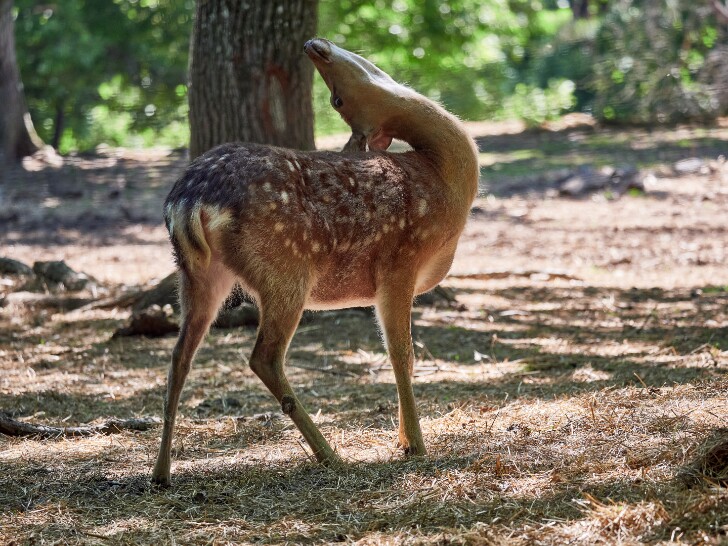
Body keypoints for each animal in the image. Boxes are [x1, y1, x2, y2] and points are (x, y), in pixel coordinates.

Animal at [151, 38, 479, 486]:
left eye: (337, 99)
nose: (314, 46)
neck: (445, 180)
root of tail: (188, 200)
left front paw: (402, 439)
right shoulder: (400, 261)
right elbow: (402, 354)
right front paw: (414, 445)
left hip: (199, 273)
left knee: (178, 357)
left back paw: (161, 472)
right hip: (286, 270)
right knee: (264, 356)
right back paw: (330, 455)